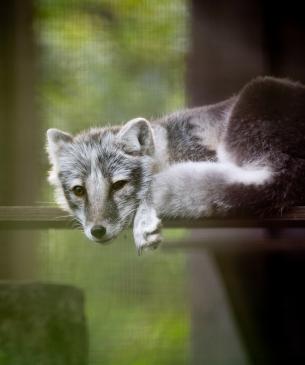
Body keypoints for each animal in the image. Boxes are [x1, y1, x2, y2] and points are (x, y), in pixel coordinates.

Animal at [46, 77, 304, 253]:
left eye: (119, 185)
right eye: (79, 190)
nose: (97, 231)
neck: (166, 148)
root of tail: (288, 165)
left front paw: (144, 219)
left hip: (259, 91)